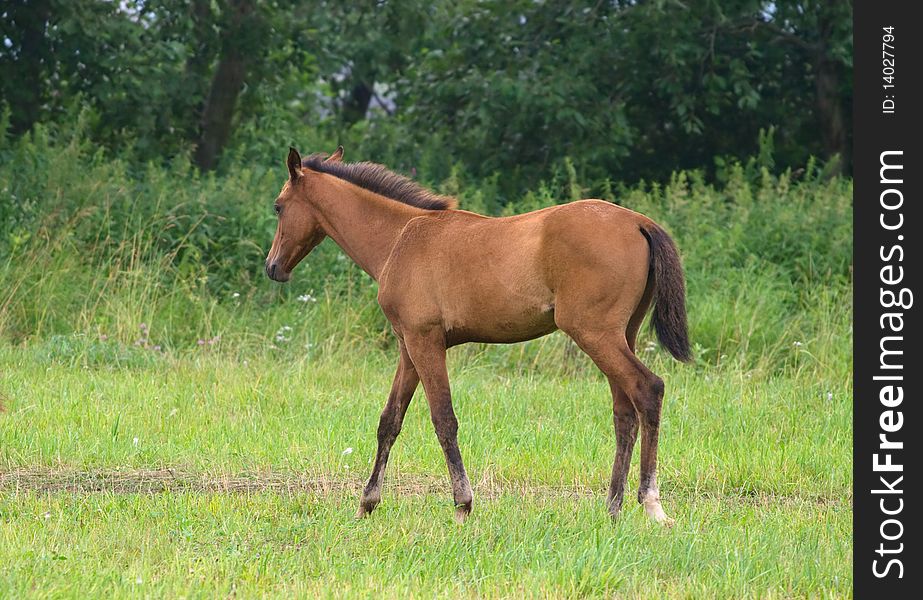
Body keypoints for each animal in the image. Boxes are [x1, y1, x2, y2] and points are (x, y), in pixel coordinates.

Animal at [264, 146, 688, 524]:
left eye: (279, 205)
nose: (273, 267)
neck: (399, 239)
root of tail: (639, 222)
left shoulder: (426, 342)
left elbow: (443, 419)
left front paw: (462, 505)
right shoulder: (408, 348)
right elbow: (390, 421)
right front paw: (367, 504)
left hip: (595, 334)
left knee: (648, 389)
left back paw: (651, 504)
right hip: (621, 335)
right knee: (624, 413)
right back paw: (612, 509)